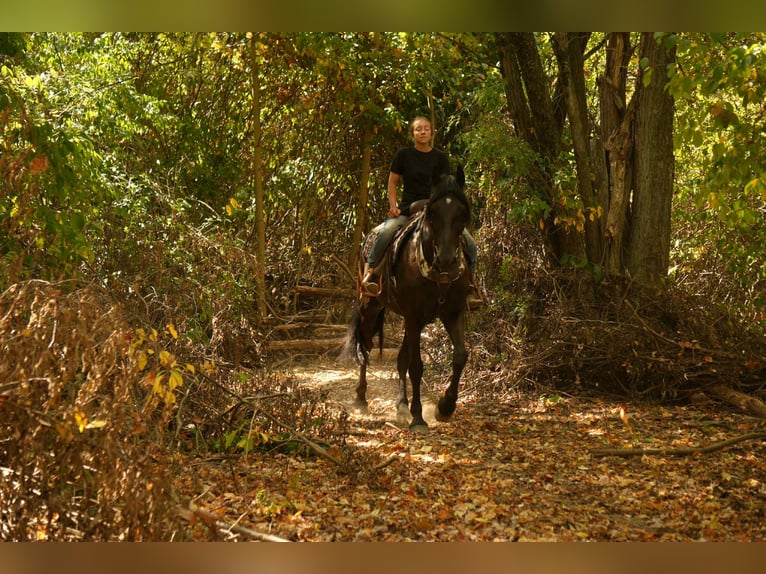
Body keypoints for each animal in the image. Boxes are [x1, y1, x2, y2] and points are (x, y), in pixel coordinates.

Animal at [345, 166, 472, 431]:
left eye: (463, 213)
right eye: (432, 213)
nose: (447, 260)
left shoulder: (452, 312)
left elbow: (459, 357)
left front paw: (445, 407)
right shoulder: (414, 316)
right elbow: (417, 366)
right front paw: (418, 417)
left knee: (400, 358)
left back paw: (401, 406)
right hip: (370, 305)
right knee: (366, 346)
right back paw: (361, 398)